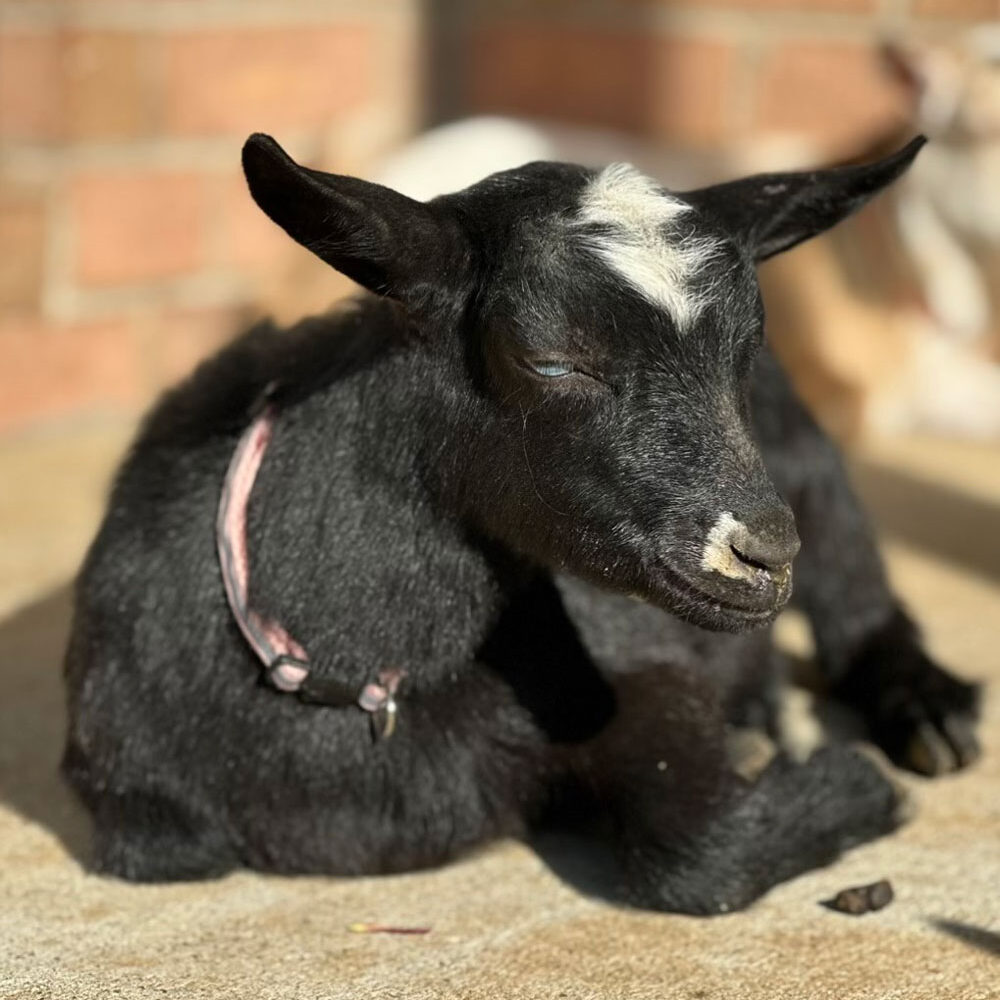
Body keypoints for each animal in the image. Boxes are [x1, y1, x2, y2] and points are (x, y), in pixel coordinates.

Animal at [61, 134, 980, 914]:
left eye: (745, 352)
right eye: (549, 358)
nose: (763, 553)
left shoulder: (635, 659)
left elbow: (695, 850)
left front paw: (861, 782)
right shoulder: (140, 821)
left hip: (809, 464)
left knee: (855, 584)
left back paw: (926, 717)